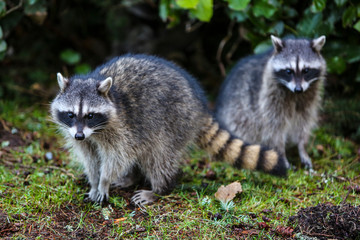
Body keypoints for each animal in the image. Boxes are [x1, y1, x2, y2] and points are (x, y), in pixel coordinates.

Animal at [50, 53, 286, 205]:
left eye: (90, 115)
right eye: (70, 114)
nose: (79, 135)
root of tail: (199, 104)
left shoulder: (120, 128)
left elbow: (117, 156)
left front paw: (104, 182)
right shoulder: (82, 135)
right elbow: (90, 158)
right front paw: (94, 181)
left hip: (175, 122)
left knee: (159, 158)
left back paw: (160, 189)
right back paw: (132, 178)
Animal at [215, 36, 328, 171]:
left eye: (306, 70)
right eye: (288, 71)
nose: (298, 89)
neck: (294, 94)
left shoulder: (309, 97)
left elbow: (303, 124)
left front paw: (302, 148)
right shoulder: (270, 97)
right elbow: (274, 128)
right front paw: (281, 154)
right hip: (237, 113)